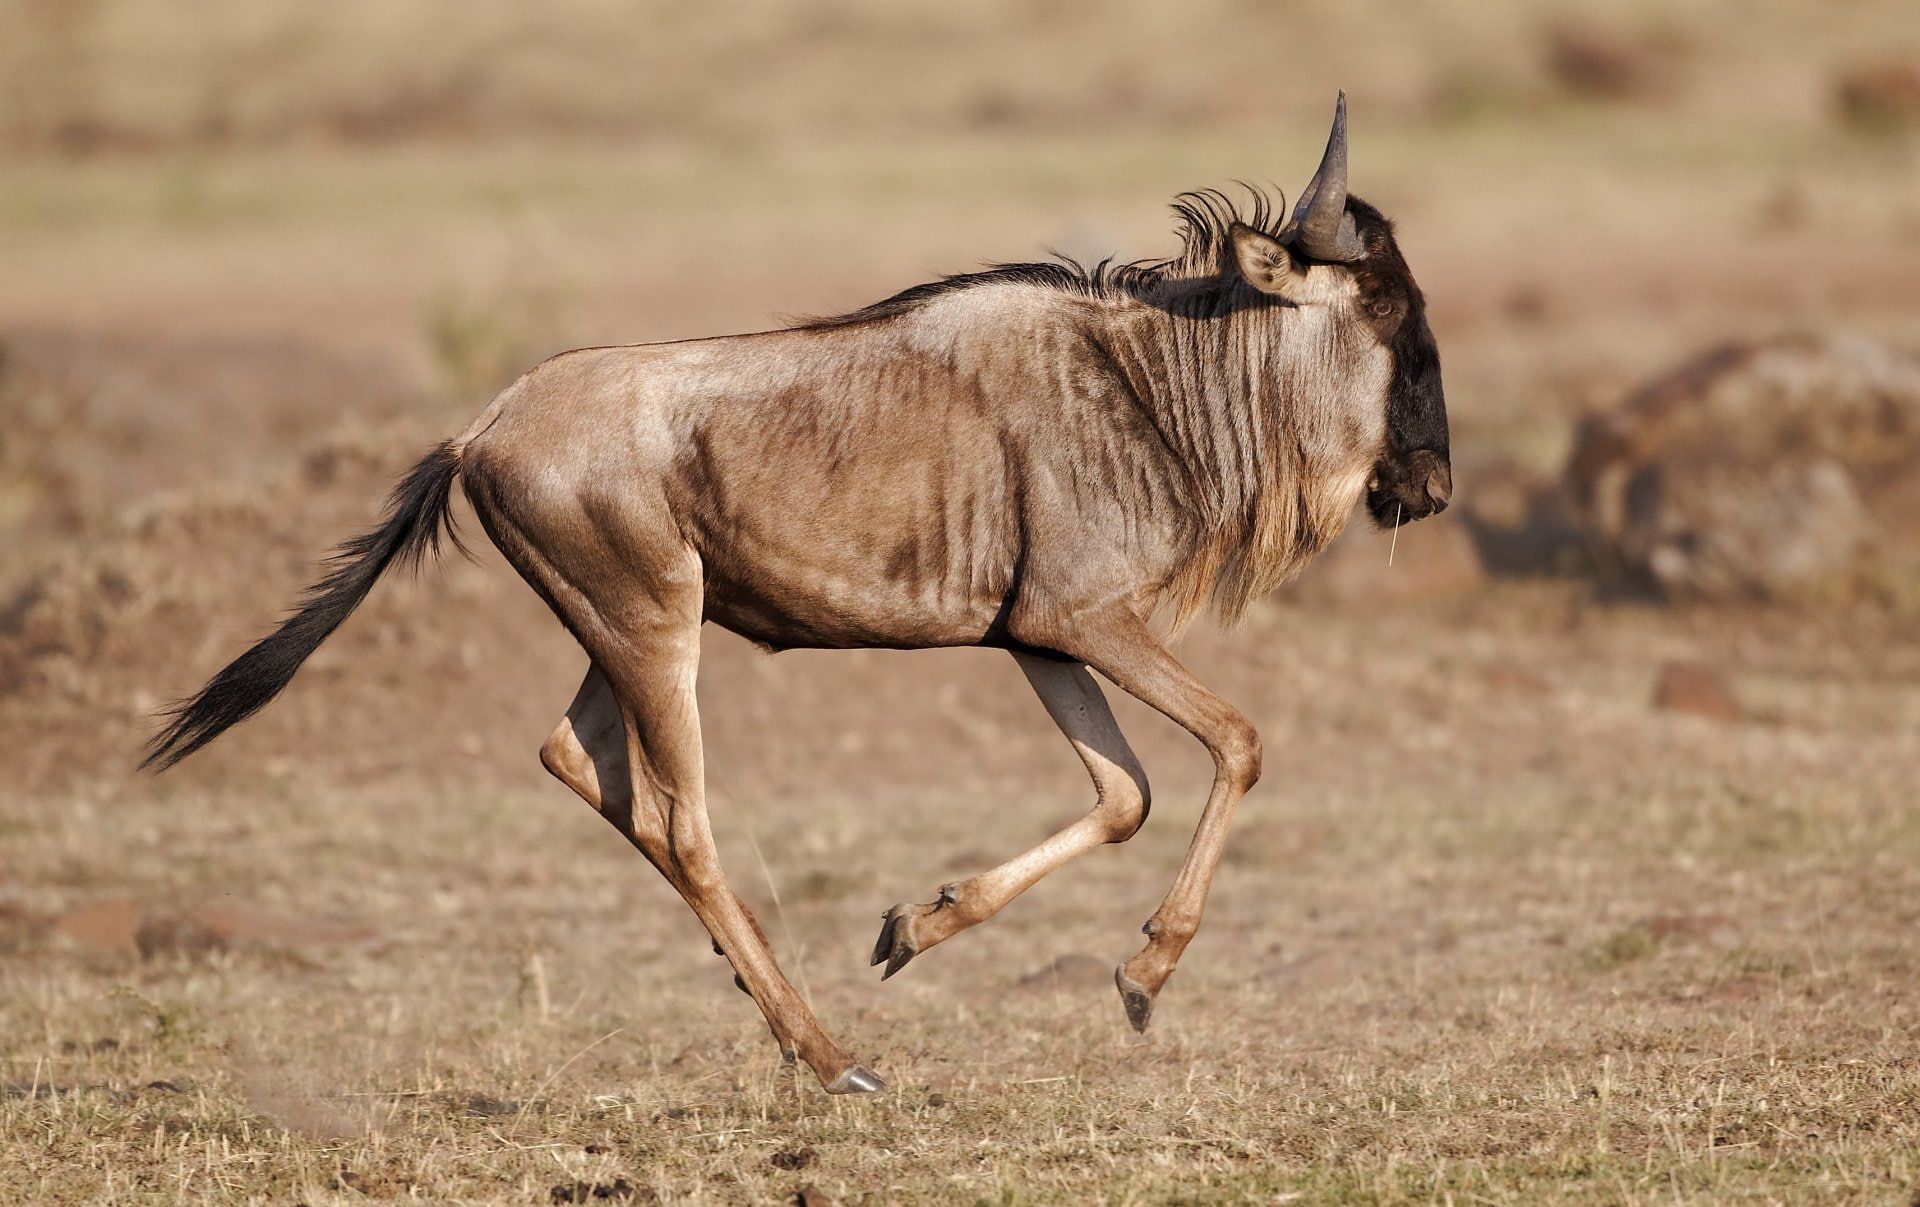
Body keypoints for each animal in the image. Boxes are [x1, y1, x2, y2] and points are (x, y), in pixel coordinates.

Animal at [147, 96, 1451, 1094]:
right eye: (1388, 313)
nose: (1432, 486)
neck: (1148, 384)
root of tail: (480, 429)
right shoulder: (1085, 620)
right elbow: (1238, 740)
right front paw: (1144, 973)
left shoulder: (1038, 636)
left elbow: (1124, 793)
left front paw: (917, 923)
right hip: (655, 628)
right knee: (681, 818)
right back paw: (830, 1058)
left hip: (621, 627)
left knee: (584, 764)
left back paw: (784, 1012)